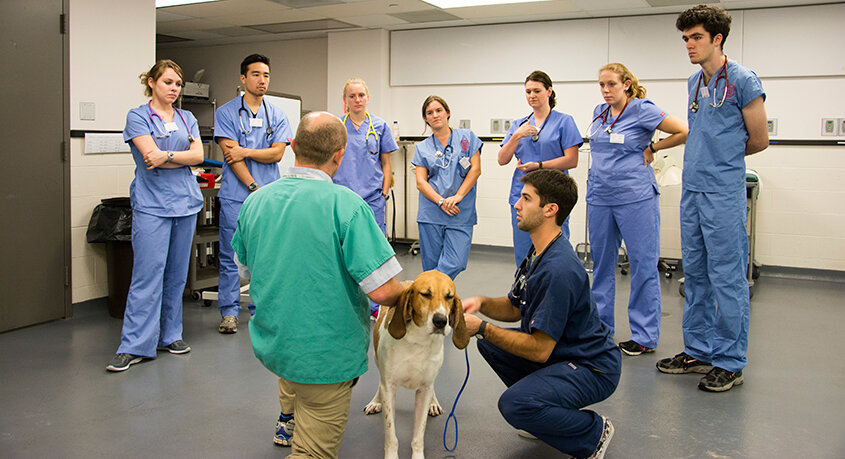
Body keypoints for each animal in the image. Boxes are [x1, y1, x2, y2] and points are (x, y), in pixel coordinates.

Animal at [362, 272, 468, 458]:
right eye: (425, 294)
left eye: (449, 297)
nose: (441, 321)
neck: (419, 340)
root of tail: (407, 281)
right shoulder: (389, 388)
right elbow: (391, 435)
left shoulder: (424, 390)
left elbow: (419, 434)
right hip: (376, 360)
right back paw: (376, 401)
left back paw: (433, 403)